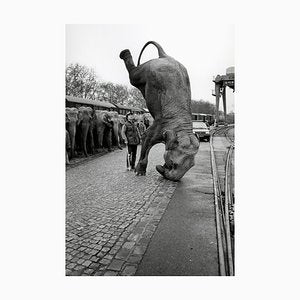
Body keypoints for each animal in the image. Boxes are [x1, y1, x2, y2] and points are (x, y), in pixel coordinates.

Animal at [119, 39, 199, 180]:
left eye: (192, 165)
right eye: (173, 164)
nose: (172, 178)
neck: (182, 127)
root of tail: (164, 55)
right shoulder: (159, 124)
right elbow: (146, 138)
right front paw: (139, 172)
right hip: (143, 71)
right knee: (133, 76)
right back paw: (124, 52)